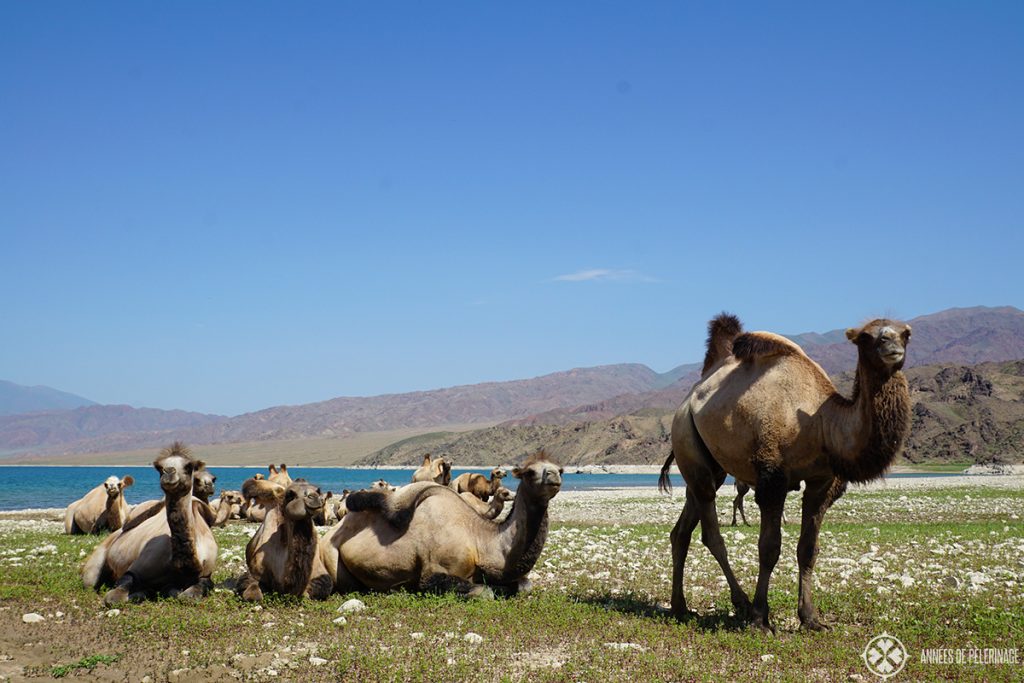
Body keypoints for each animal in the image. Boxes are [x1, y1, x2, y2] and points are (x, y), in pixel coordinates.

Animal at [82, 444, 220, 610]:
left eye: (189, 466)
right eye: (160, 468)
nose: (169, 472)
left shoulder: (206, 573)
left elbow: (190, 594)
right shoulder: (136, 569)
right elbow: (114, 596)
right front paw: (146, 591)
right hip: (96, 561)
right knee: (90, 582)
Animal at [317, 450, 561, 593]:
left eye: (559, 468)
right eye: (530, 472)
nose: (555, 477)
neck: (478, 538)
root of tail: (328, 536)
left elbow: (525, 586)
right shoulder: (433, 573)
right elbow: (482, 591)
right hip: (330, 555)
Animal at [659, 313, 917, 634]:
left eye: (906, 333)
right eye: (866, 337)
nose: (891, 345)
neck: (820, 423)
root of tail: (687, 403)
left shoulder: (823, 482)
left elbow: (808, 549)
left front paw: (811, 618)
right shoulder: (772, 478)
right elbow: (769, 548)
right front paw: (760, 618)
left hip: (708, 465)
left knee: (682, 530)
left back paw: (680, 607)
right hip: (688, 440)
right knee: (711, 534)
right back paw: (741, 603)